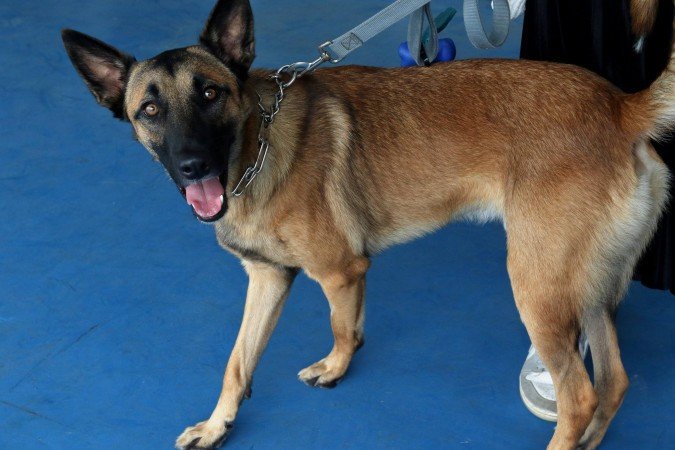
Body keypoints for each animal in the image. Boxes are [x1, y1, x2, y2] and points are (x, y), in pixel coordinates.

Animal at [61, 0, 673, 448]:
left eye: (210, 93)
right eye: (149, 110)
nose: (192, 166)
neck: (258, 148)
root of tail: (620, 107)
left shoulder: (339, 272)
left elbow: (341, 327)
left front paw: (336, 368)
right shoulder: (266, 278)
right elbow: (236, 363)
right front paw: (217, 426)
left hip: (538, 286)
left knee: (580, 397)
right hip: (585, 286)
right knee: (613, 383)